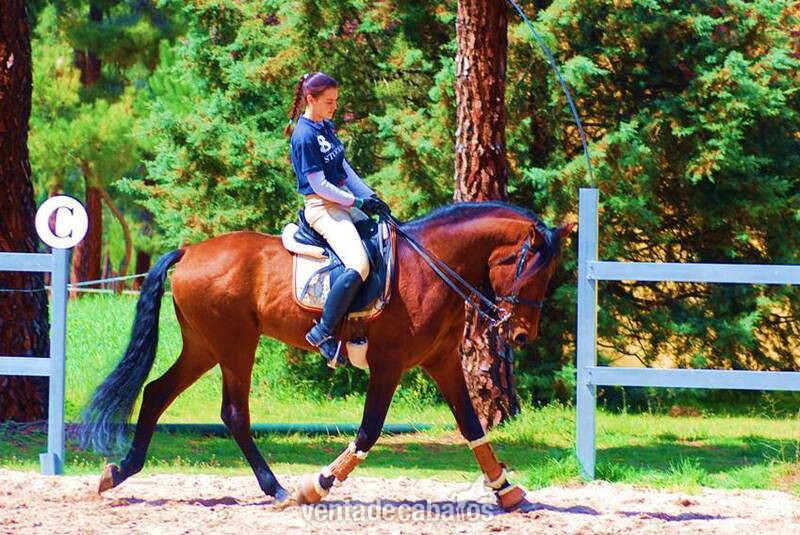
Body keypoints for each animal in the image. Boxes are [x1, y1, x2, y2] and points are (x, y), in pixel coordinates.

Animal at [80, 201, 575, 512]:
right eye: (529, 269)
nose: (521, 335)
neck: (431, 266)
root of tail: (190, 251)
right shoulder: (388, 364)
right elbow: (370, 431)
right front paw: (317, 486)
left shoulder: (443, 362)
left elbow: (472, 427)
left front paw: (508, 492)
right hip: (235, 344)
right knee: (233, 413)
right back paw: (278, 489)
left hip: (205, 346)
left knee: (156, 393)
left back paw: (119, 471)